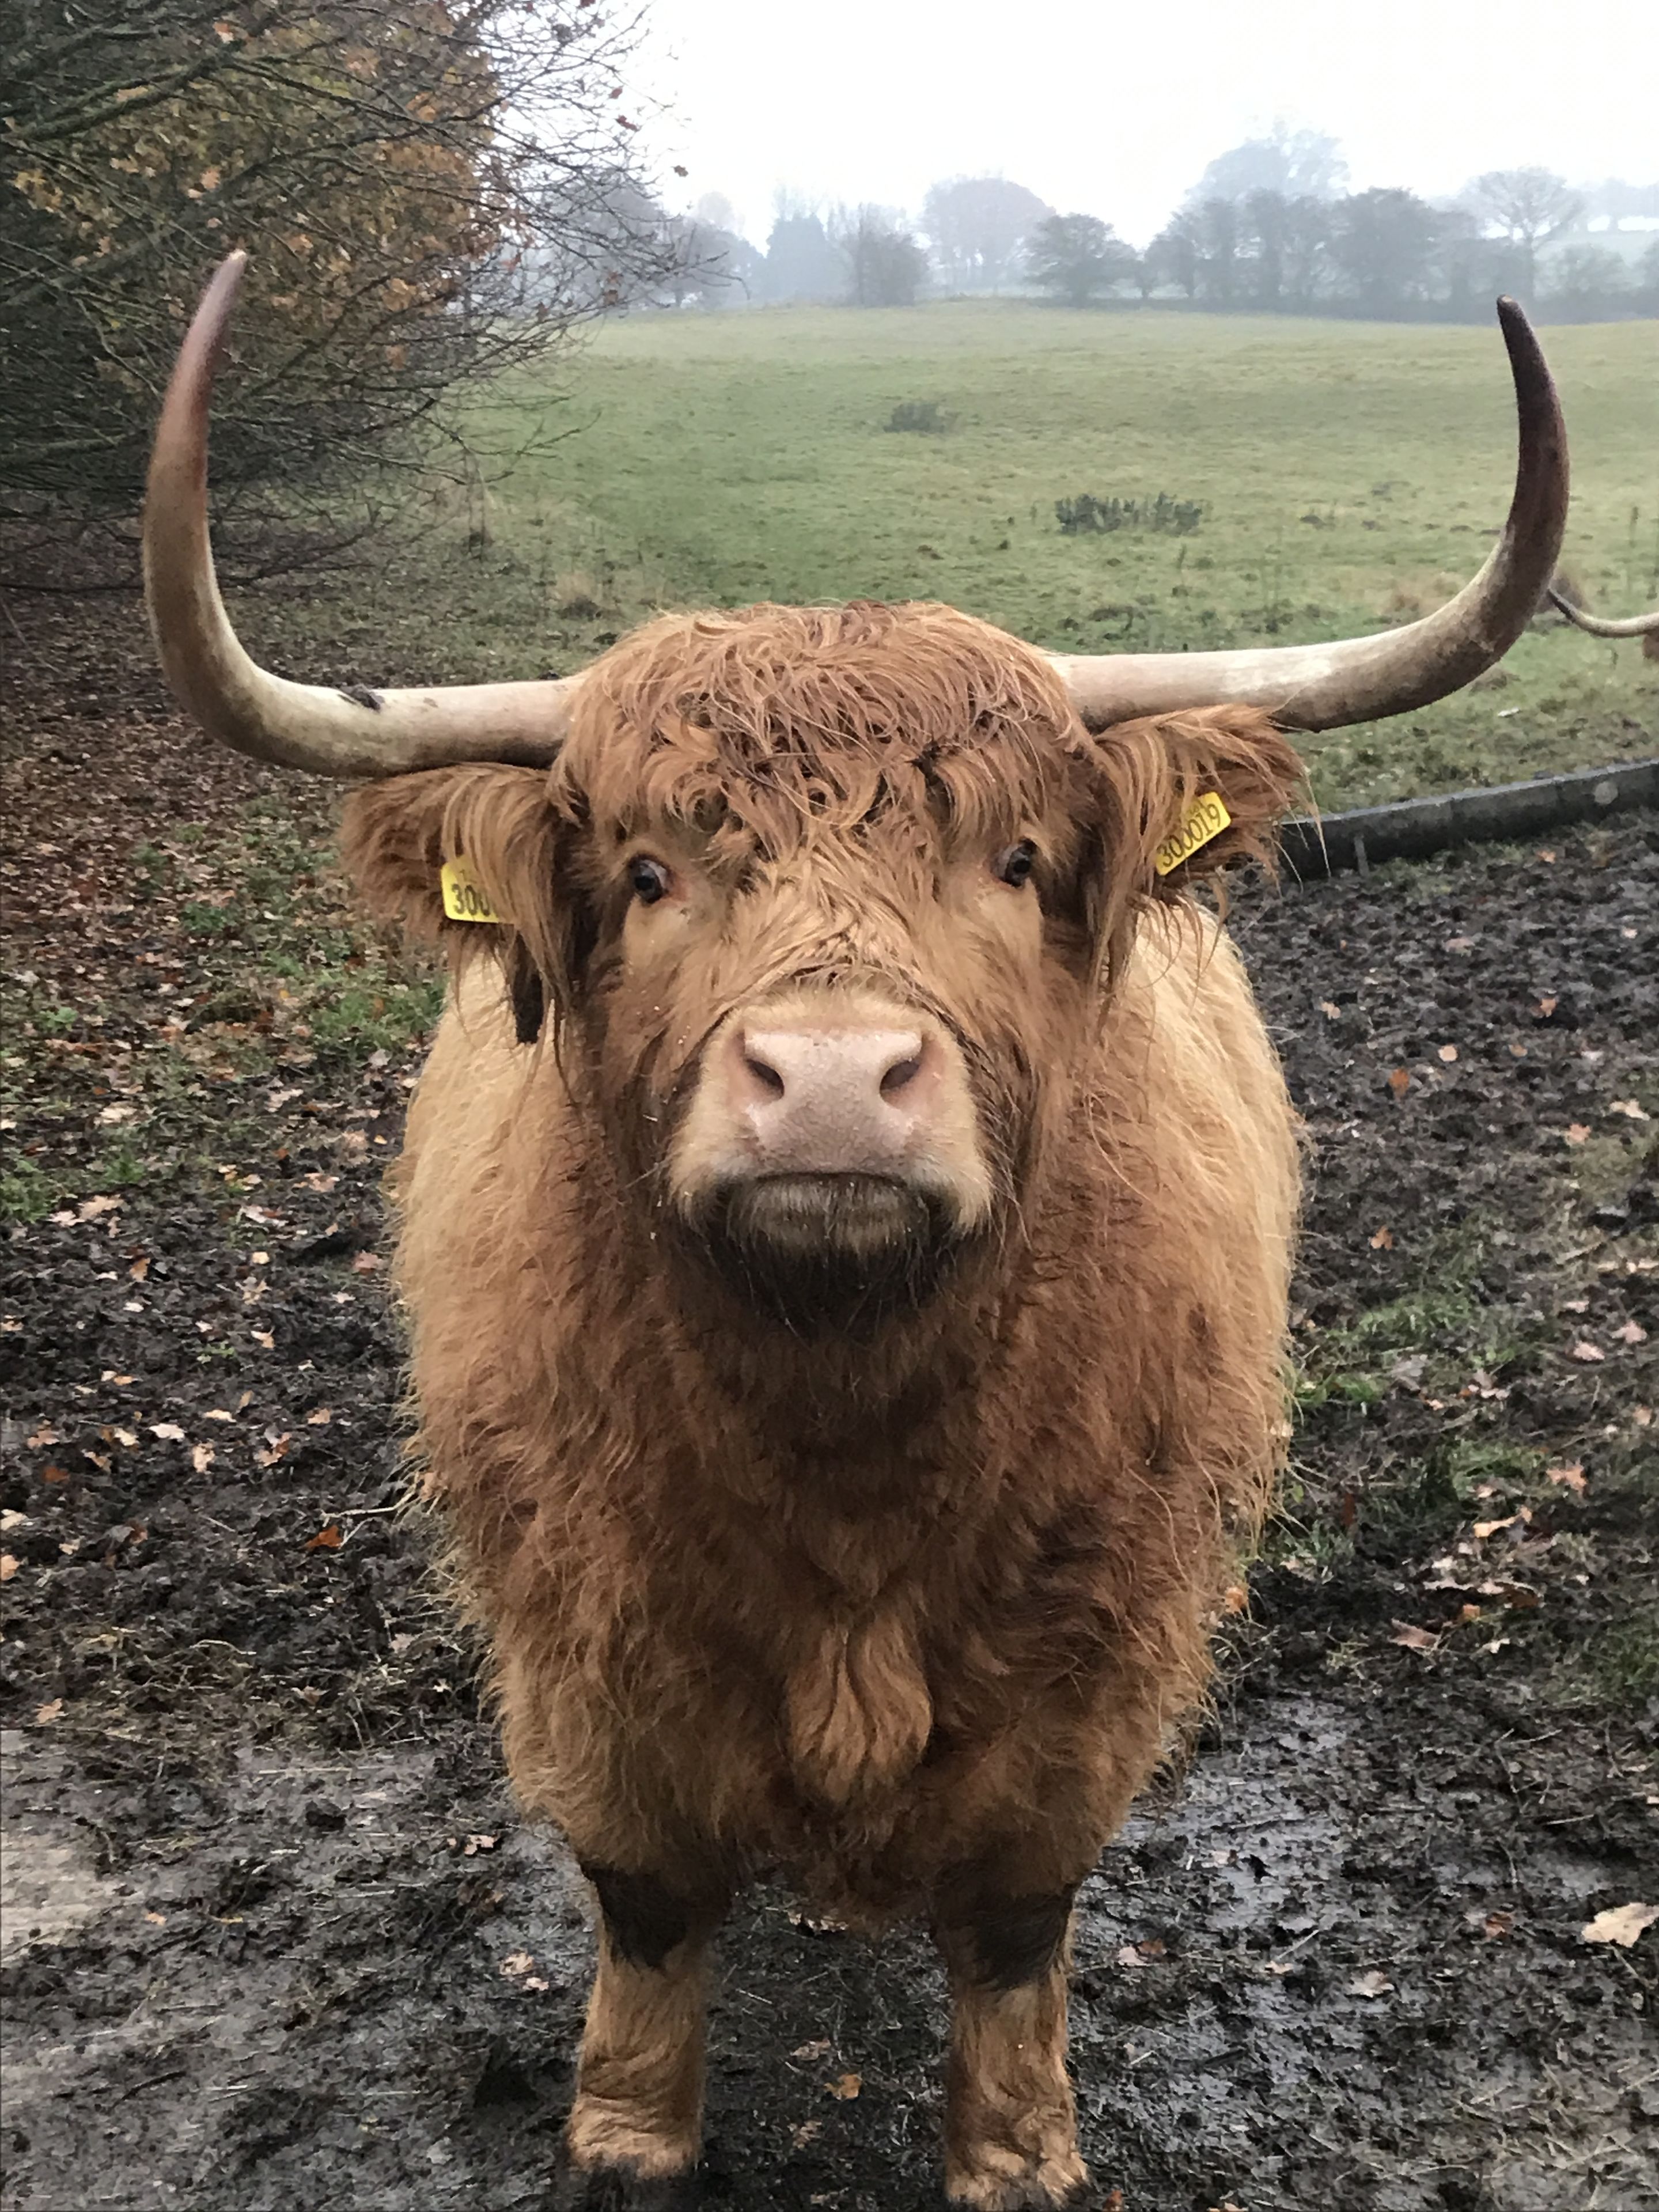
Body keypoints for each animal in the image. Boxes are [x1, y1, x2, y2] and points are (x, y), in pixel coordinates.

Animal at [143, 256, 1569, 2210]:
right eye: (649, 872)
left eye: (1020, 860)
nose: (829, 1080)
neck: (843, 1429)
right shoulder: (587, 1635)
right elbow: (649, 1898)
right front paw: (626, 2131)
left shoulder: (1095, 1651)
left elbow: (1020, 1915)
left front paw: (1016, 2149)